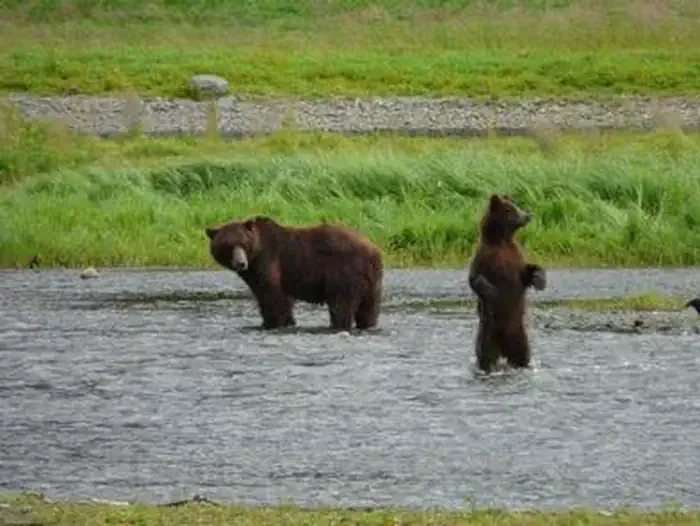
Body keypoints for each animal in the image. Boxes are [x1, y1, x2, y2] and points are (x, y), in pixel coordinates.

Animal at [205, 215, 383, 331]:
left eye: (243, 243)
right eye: (228, 246)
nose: (241, 263)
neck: (255, 256)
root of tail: (372, 249)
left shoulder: (268, 262)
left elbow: (272, 295)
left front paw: (271, 323)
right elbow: (285, 299)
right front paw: (287, 321)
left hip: (345, 272)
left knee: (341, 305)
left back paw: (338, 325)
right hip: (372, 281)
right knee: (368, 309)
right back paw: (367, 325)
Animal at [468, 194, 546, 373]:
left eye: (516, 206)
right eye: (510, 209)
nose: (527, 215)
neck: (502, 240)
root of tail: (503, 348)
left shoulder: (516, 258)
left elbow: (527, 272)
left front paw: (539, 280)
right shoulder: (484, 258)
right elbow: (475, 278)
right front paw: (492, 292)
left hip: (519, 335)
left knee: (522, 354)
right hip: (488, 333)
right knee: (486, 354)